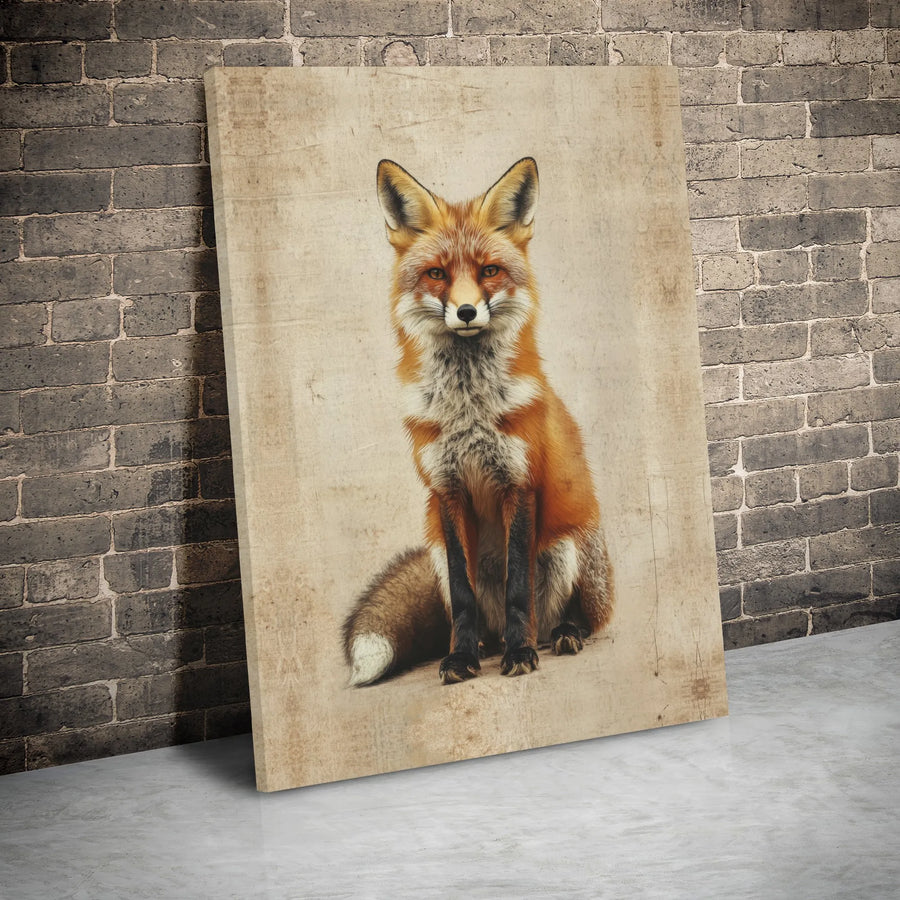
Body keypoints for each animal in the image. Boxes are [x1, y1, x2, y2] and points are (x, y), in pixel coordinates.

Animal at [343, 156, 614, 687]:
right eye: (437, 274)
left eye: (489, 271)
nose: (466, 311)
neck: (468, 411)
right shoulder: (446, 492)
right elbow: (463, 593)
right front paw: (461, 658)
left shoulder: (520, 484)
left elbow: (518, 588)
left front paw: (520, 653)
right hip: (433, 548)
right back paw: (488, 646)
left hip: (567, 548)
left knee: (579, 617)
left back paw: (558, 635)